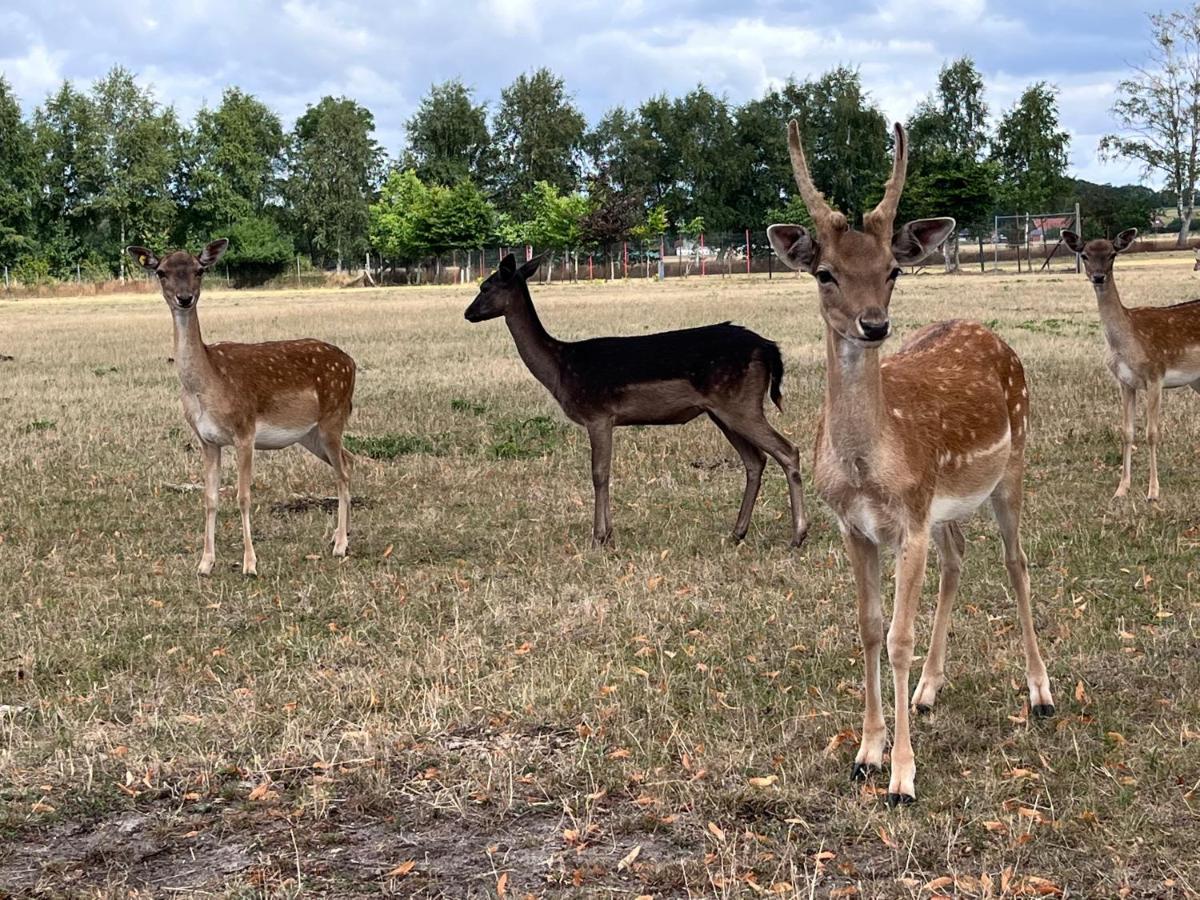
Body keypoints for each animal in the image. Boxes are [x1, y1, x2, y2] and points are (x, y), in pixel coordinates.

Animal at [130, 240, 357, 578]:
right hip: (310, 434)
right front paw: (205, 563)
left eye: (199, 270)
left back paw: (340, 545)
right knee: (349, 461)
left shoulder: (244, 430)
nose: (184, 298)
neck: (207, 385)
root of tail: (351, 363)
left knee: (342, 471)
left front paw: (250, 563)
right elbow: (210, 497)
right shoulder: (207, 440)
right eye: (161, 272)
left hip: (334, 414)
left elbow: (243, 496)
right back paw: (337, 536)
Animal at [463, 254, 811, 549]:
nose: (468, 313)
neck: (561, 370)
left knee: (787, 450)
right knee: (755, 460)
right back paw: (737, 532)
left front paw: (599, 538)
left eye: (485, 286)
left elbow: (599, 473)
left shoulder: (598, 414)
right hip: (722, 411)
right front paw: (607, 535)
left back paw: (797, 536)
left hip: (740, 404)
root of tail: (768, 348)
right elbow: (604, 472)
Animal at [772, 120, 1056, 801]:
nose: (874, 324)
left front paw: (902, 774)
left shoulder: (910, 521)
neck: (865, 469)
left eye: (893, 270)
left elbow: (898, 637)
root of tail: (990, 332)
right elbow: (869, 627)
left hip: (1012, 463)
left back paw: (1041, 692)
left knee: (1015, 561)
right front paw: (865, 752)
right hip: (949, 501)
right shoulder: (854, 527)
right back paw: (929, 690)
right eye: (824, 272)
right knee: (960, 557)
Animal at [1065, 226, 1195, 501]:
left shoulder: (1156, 375)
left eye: (1112, 254)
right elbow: (1127, 432)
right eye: (1084, 255)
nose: (1099, 277)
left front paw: (1153, 491)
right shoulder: (1125, 382)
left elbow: (1152, 433)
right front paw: (1121, 489)